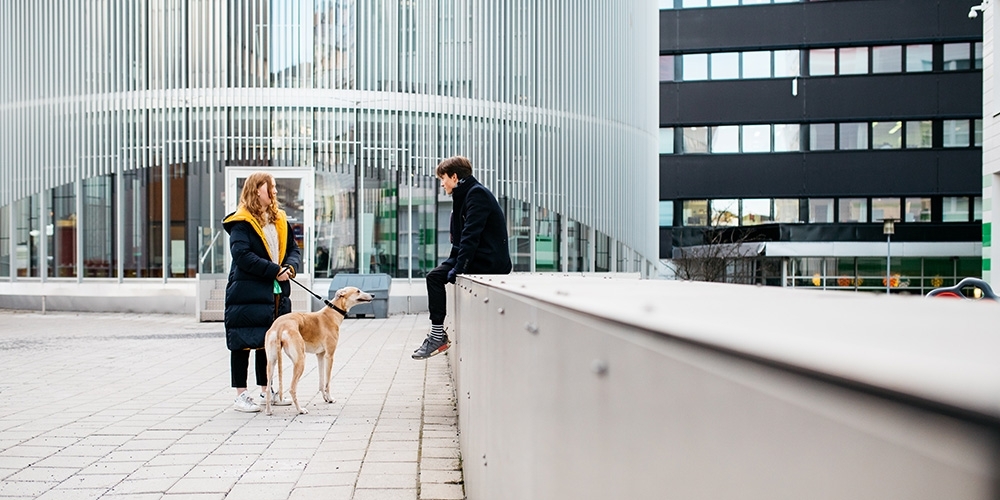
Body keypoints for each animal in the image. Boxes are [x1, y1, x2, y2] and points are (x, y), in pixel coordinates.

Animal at [264, 286, 374, 414]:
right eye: (358, 291)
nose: (373, 295)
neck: (332, 313)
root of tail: (280, 326)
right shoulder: (329, 355)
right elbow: (327, 382)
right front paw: (330, 398)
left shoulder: (320, 355)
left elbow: (321, 382)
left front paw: (325, 398)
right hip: (300, 360)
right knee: (292, 388)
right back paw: (300, 409)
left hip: (271, 361)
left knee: (268, 388)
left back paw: (268, 411)